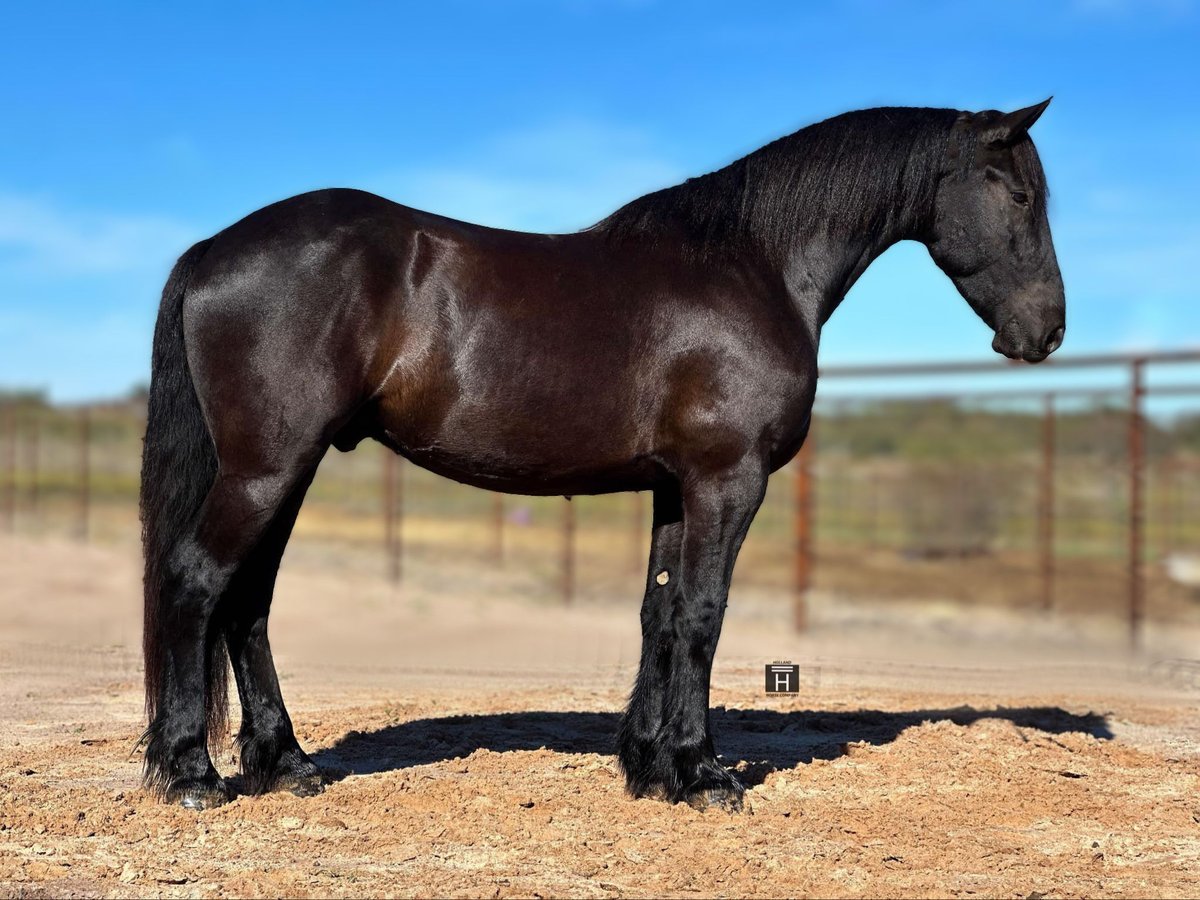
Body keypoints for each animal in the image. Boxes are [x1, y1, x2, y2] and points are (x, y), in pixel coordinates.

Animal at [139, 100, 1065, 811]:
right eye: (1019, 194)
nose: (1047, 331)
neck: (752, 266)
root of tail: (214, 249)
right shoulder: (728, 480)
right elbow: (703, 613)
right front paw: (704, 774)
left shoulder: (676, 487)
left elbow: (661, 612)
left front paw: (651, 767)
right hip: (267, 468)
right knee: (197, 581)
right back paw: (191, 774)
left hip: (284, 470)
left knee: (247, 601)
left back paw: (286, 763)